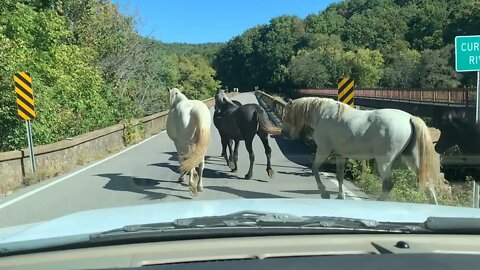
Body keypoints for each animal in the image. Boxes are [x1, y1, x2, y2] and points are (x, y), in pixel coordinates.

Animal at [282, 97, 442, 205]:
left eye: (285, 115)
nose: (283, 132)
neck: (323, 113)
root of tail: (410, 118)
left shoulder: (323, 150)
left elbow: (314, 169)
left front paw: (324, 193)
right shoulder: (340, 155)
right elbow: (339, 176)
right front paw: (340, 196)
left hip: (384, 160)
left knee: (388, 183)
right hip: (412, 158)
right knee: (427, 182)